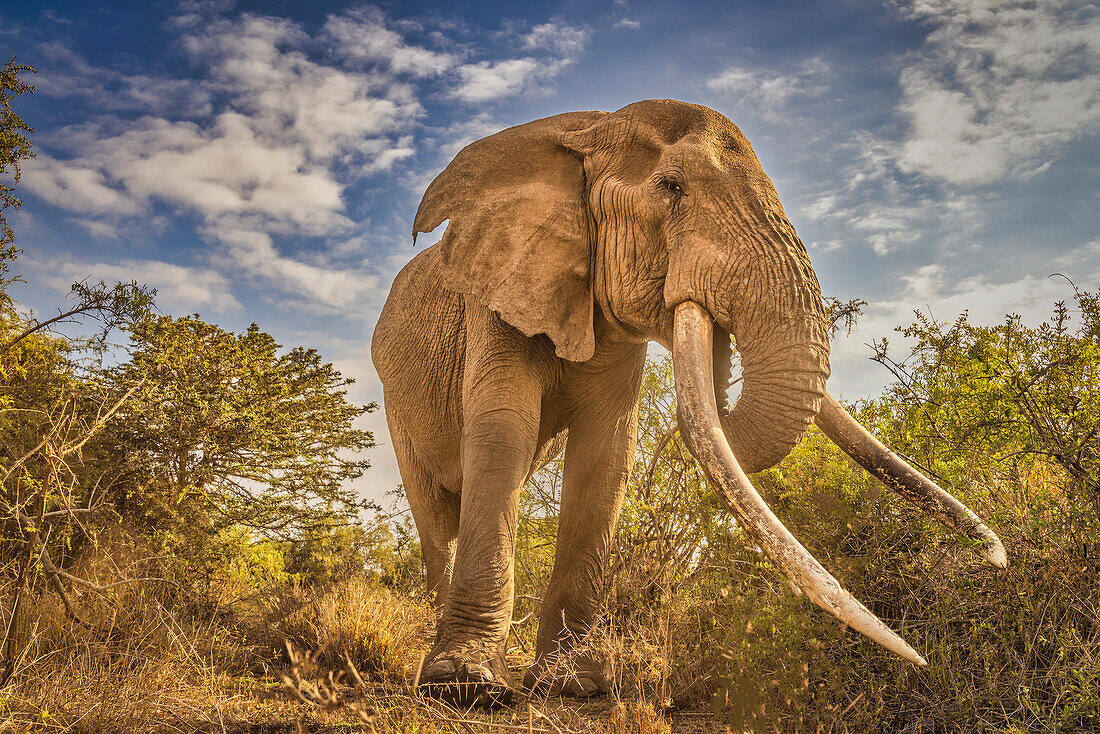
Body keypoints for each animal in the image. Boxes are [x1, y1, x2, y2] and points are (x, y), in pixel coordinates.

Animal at [371, 99, 1007, 704]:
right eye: (671, 188)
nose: (998, 559)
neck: (588, 130)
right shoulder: (499, 290)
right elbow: (503, 432)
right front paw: (465, 686)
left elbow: (606, 455)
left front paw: (574, 685)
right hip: (394, 399)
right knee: (435, 507)